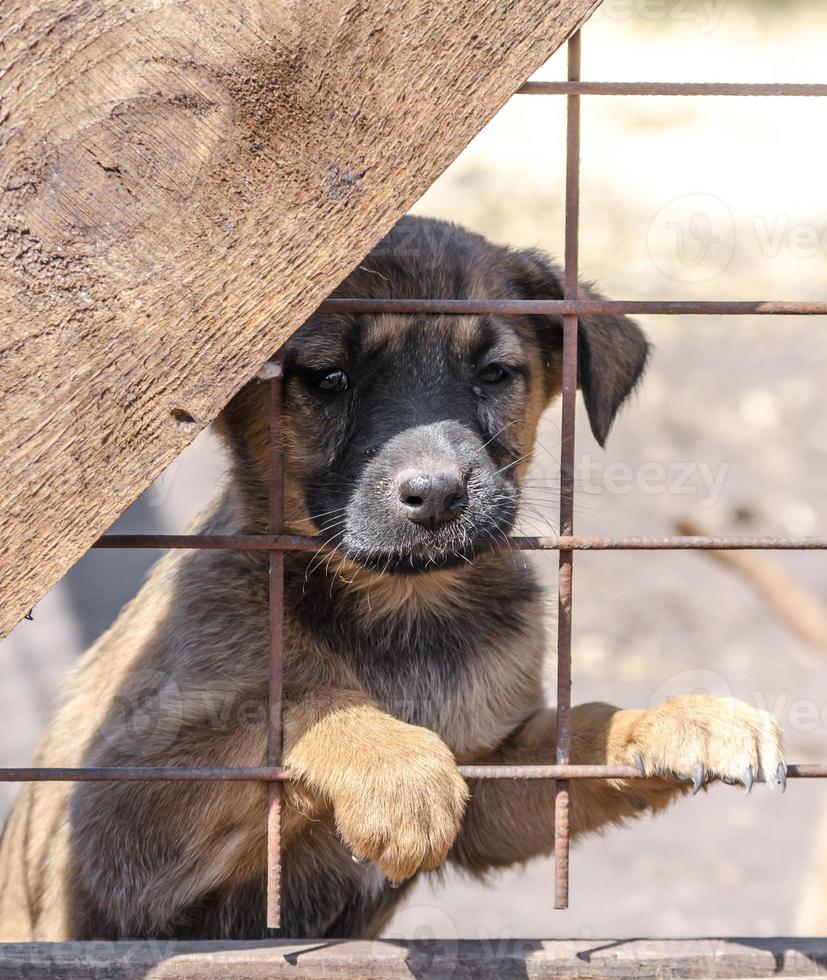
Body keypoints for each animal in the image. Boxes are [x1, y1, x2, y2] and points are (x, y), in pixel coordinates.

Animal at [0, 216, 784, 940]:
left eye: (493, 374)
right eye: (329, 378)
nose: (436, 495)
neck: (402, 614)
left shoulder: (491, 786)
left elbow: (582, 733)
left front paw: (679, 720)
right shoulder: (110, 825)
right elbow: (297, 701)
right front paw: (395, 766)